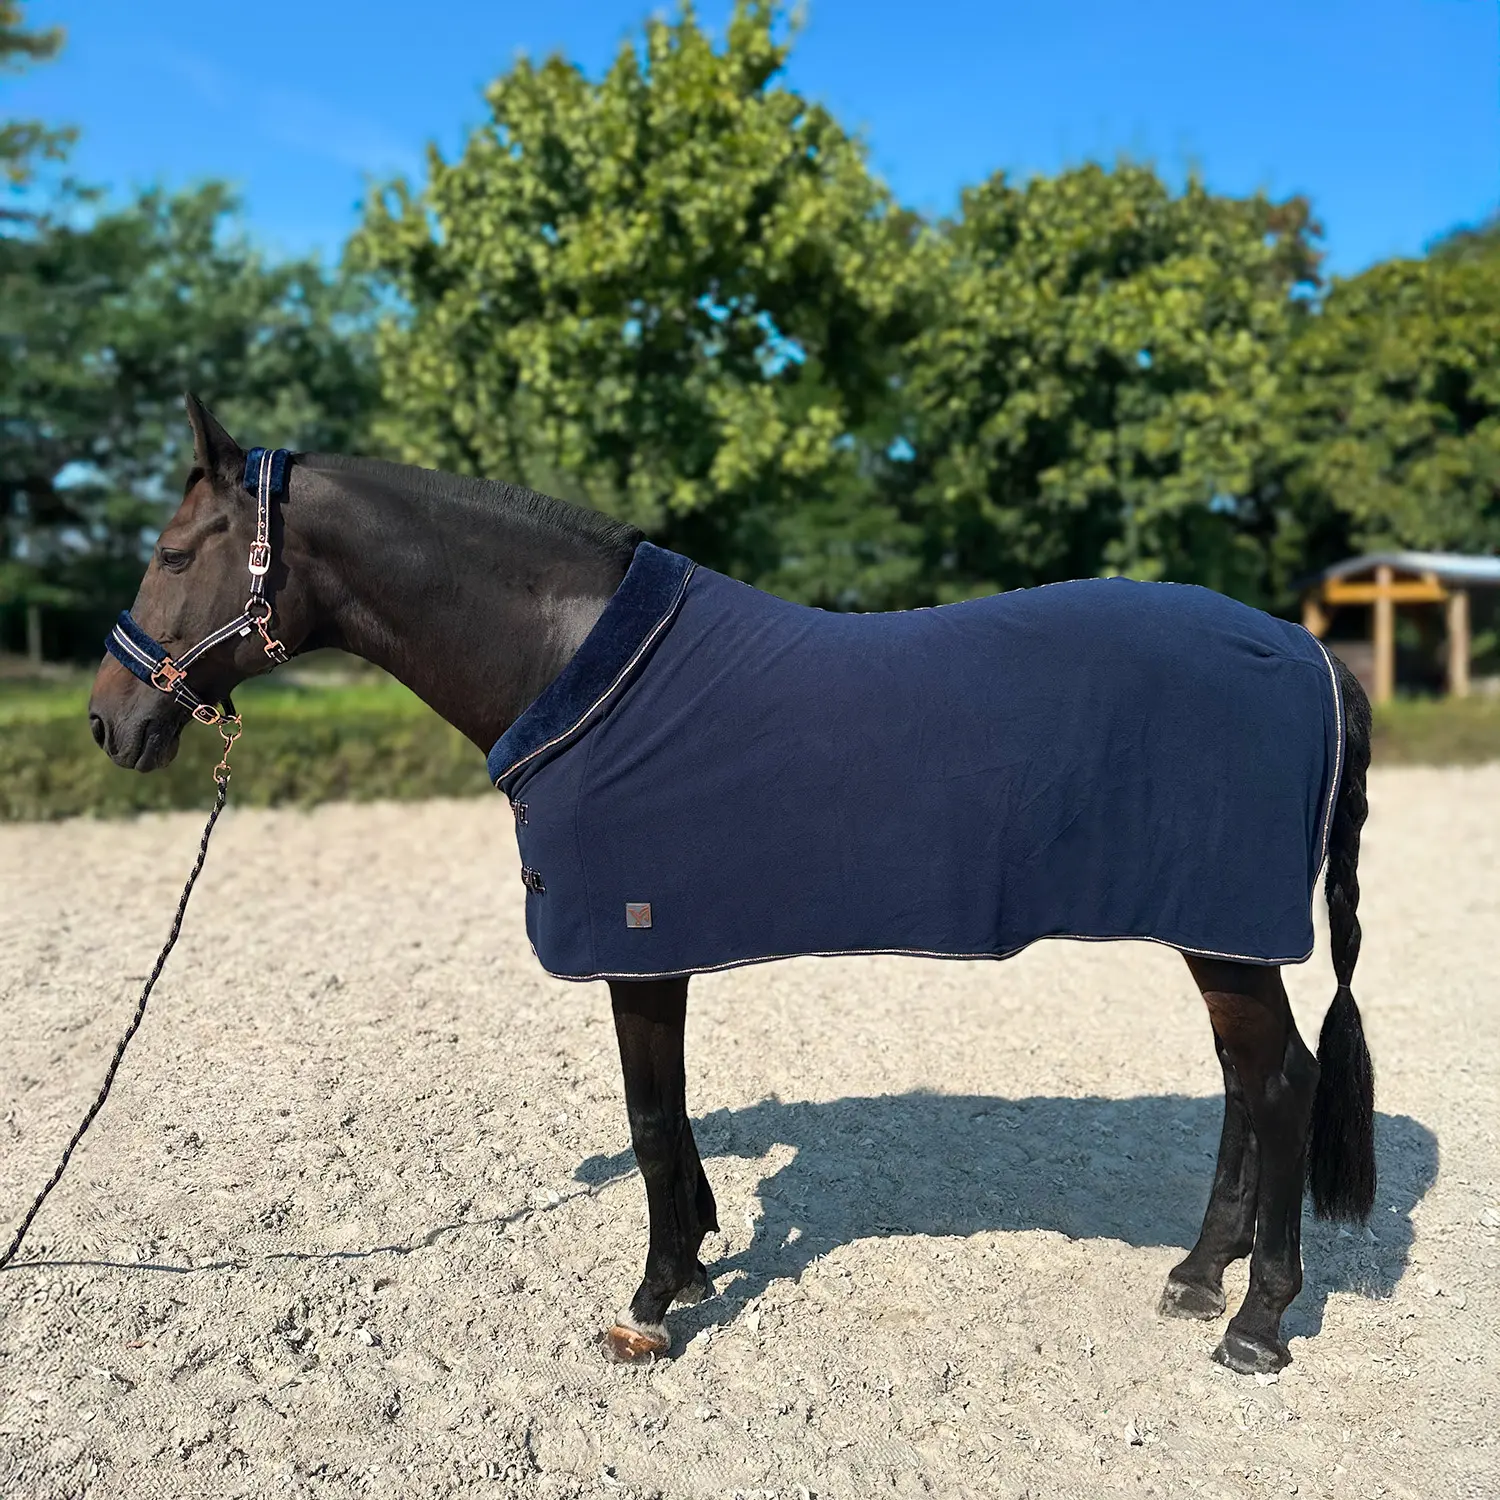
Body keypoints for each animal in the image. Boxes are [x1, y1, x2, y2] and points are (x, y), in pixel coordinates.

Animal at [87, 396, 1376, 1375]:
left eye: (172, 555)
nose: (109, 722)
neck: (570, 658)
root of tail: (1312, 651)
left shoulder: (633, 941)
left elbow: (652, 1117)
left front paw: (653, 1302)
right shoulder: (661, 945)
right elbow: (673, 1116)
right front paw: (700, 1260)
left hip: (1225, 932)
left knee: (1279, 1086)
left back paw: (1256, 1322)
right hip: (1213, 932)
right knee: (1244, 1084)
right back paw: (1197, 1276)